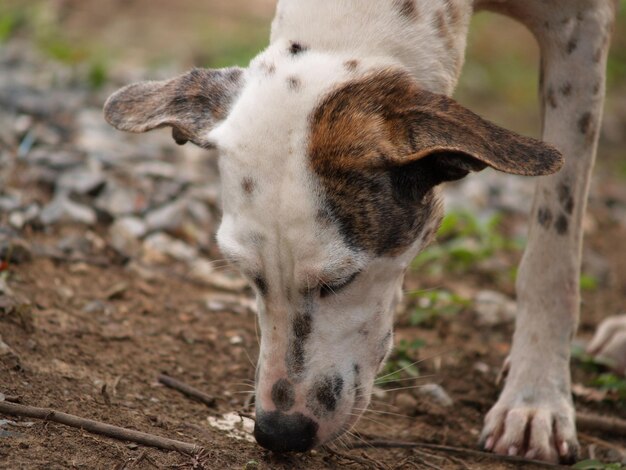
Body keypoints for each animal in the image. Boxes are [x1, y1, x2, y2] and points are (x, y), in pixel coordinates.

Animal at [102, 0, 616, 462]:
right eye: (249, 276)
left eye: (342, 280)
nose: (280, 432)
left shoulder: (580, 32)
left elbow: (552, 248)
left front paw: (535, 400)